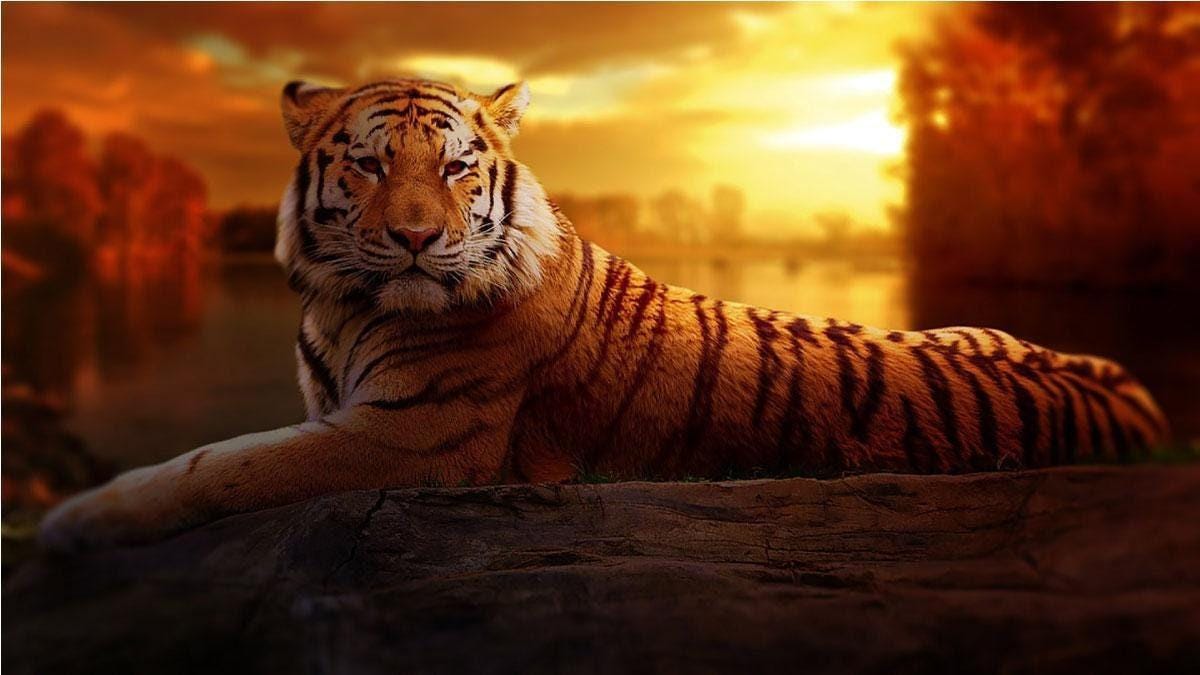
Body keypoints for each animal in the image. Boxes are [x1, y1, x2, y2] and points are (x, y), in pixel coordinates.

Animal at [39, 77, 1170, 552]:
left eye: (455, 168)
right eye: (368, 164)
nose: (415, 239)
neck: (344, 307)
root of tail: (1132, 393)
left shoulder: (406, 441)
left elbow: (218, 464)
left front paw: (76, 520)